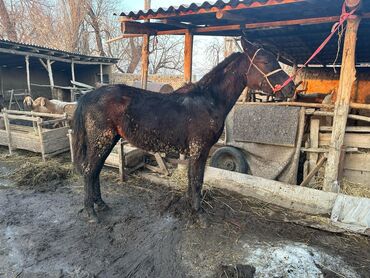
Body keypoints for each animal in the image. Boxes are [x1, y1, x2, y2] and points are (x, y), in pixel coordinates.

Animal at [71, 38, 294, 223]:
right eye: (265, 62)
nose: (291, 88)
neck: (208, 100)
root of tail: (88, 96)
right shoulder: (200, 149)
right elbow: (196, 180)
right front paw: (200, 214)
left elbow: (192, 178)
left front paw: (191, 208)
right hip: (102, 140)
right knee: (89, 171)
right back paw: (91, 212)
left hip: (108, 140)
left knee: (96, 170)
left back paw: (101, 204)